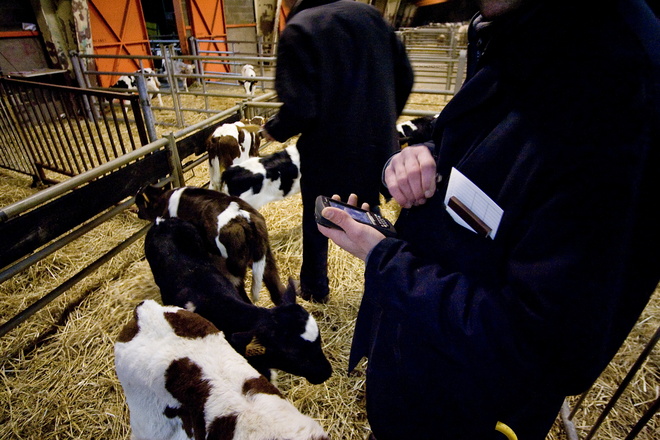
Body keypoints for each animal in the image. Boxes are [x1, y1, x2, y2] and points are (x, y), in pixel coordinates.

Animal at [137, 186, 286, 306]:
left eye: (140, 204)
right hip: (266, 257)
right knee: (277, 291)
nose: (137, 213)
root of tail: (241, 216)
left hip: (230, 268)